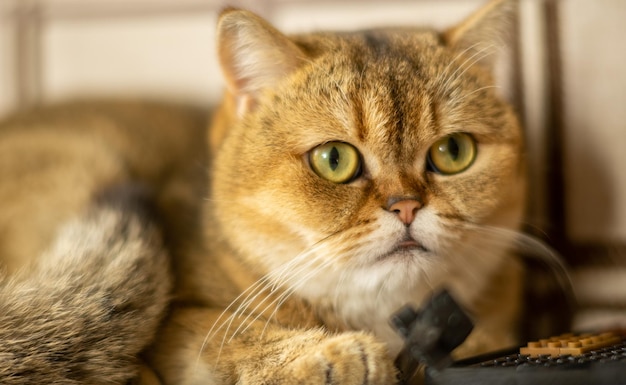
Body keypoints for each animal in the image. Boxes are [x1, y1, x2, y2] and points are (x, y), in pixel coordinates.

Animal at [0, 0, 528, 382]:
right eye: (334, 159)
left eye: (453, 152)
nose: (406, 206)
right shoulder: (178, 320)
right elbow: (226, 336)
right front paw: (325, 356)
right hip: (95, 157)